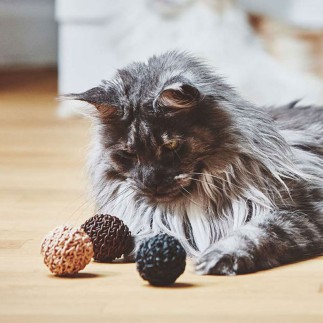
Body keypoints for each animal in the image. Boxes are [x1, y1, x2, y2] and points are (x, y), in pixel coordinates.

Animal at [66, 51, 323, 276]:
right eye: (128, 154)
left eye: (171, 146)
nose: (151, 182)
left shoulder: (299, 210)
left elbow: (253, 233)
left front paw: (220, 258)